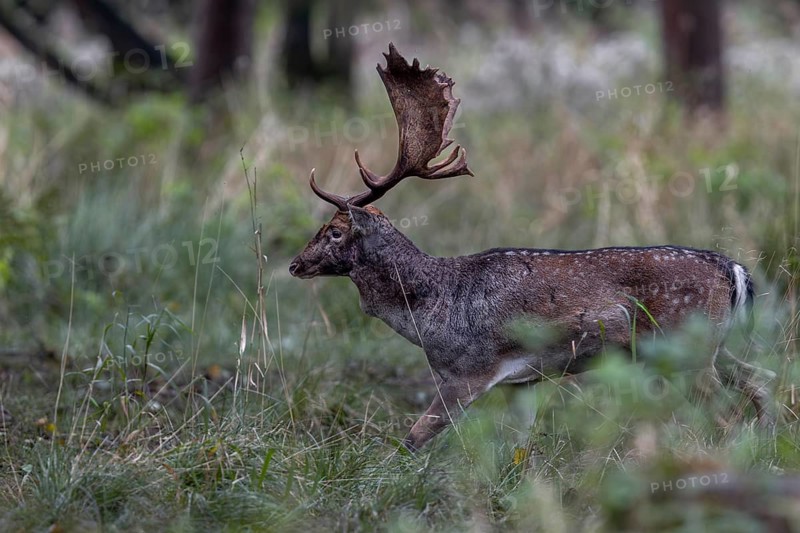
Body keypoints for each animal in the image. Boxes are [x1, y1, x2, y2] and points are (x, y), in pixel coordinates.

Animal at [289, 44, 776, 451]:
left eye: (334, 231)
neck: (429, 314)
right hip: (715, 346)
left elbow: (414, 437)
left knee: (725, 408)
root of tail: (734, 270)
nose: (295, 264)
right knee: (762, 379)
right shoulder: (520, 382)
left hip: (686, 347)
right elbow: (520, 446)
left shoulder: (469, 370)